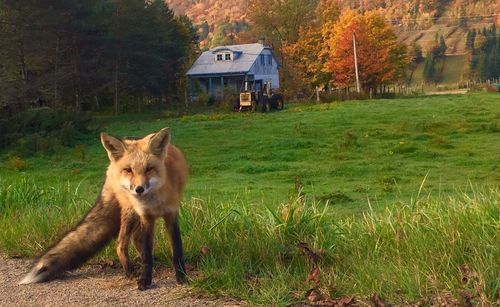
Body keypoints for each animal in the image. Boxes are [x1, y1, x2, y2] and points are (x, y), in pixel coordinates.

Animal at [19, 127, 188, 292]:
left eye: (149, 169)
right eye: (129, 170)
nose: (139, 189)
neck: (155, 201)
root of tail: (111, 167)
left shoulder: (171, 214)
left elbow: (177, 249)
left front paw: (182, 277)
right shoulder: (146, 216)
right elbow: (147, 255)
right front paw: (145, 280)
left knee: (134, 239)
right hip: (130, 212)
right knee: (121, 243)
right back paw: (130, 272)